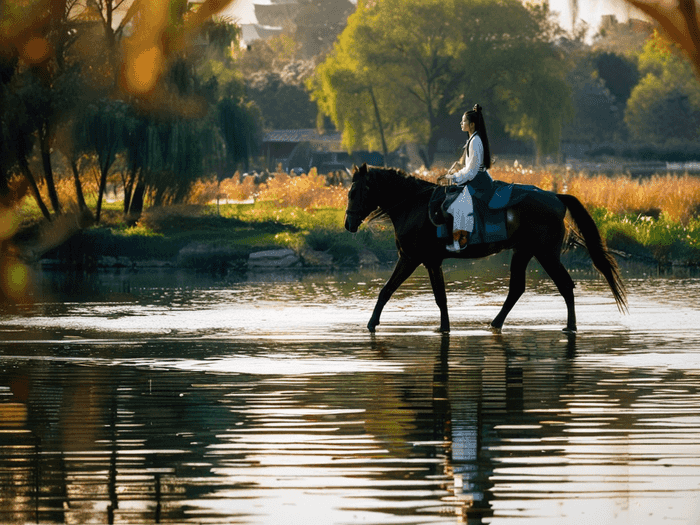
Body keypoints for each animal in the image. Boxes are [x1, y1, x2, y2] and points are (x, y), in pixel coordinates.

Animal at [344, 163, 628, 332]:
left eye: (355, 191)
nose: (348, 223)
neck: (413, 206)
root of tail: (556, 196)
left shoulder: (412, 258)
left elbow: (388, 290)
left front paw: (371, 324)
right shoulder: (429, 261)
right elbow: (436, 296)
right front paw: (444, 327)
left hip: (546, 254)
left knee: (565, 285)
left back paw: (570, 326)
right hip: (523, 252)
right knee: (517, 290)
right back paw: (495, 322)